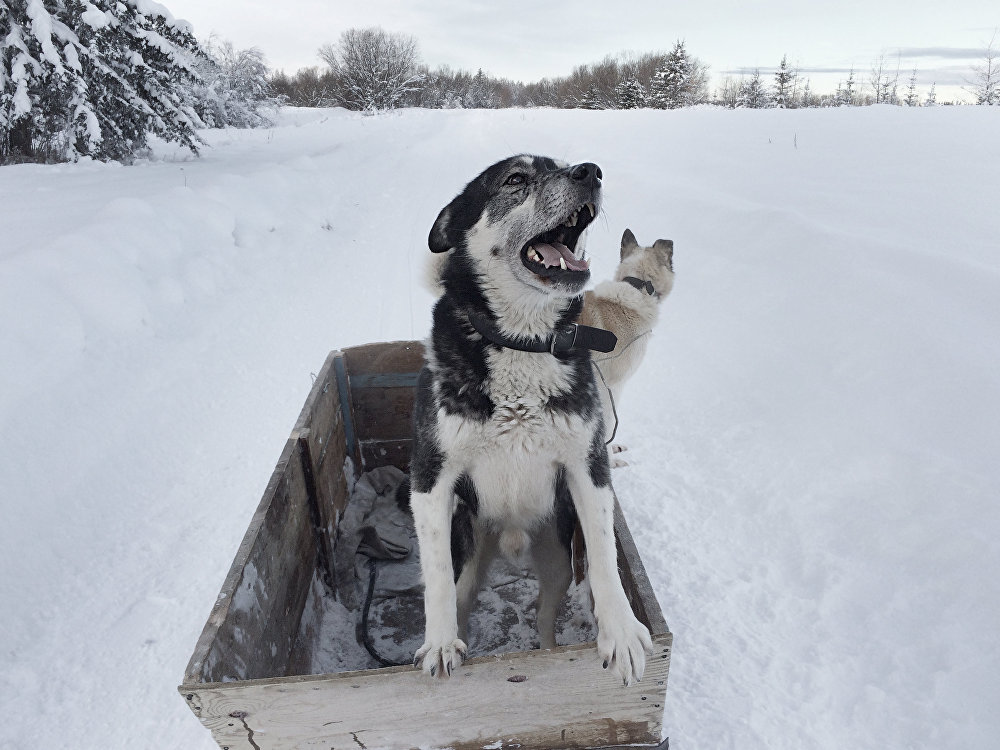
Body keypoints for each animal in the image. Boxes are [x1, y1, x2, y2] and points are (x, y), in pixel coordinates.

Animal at [410, 157, 652, 688]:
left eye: (565, 163)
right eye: (515, 179)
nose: (590, 171)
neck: (524, 343)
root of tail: (511, 534)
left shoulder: (588, 466)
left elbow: (603, 553)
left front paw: (621, 631)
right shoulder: (430, 476)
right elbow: (435, 574)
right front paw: (439, 643)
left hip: (557, 559)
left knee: (545, 618)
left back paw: (547, 652)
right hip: (470, 555)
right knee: (461, 595)